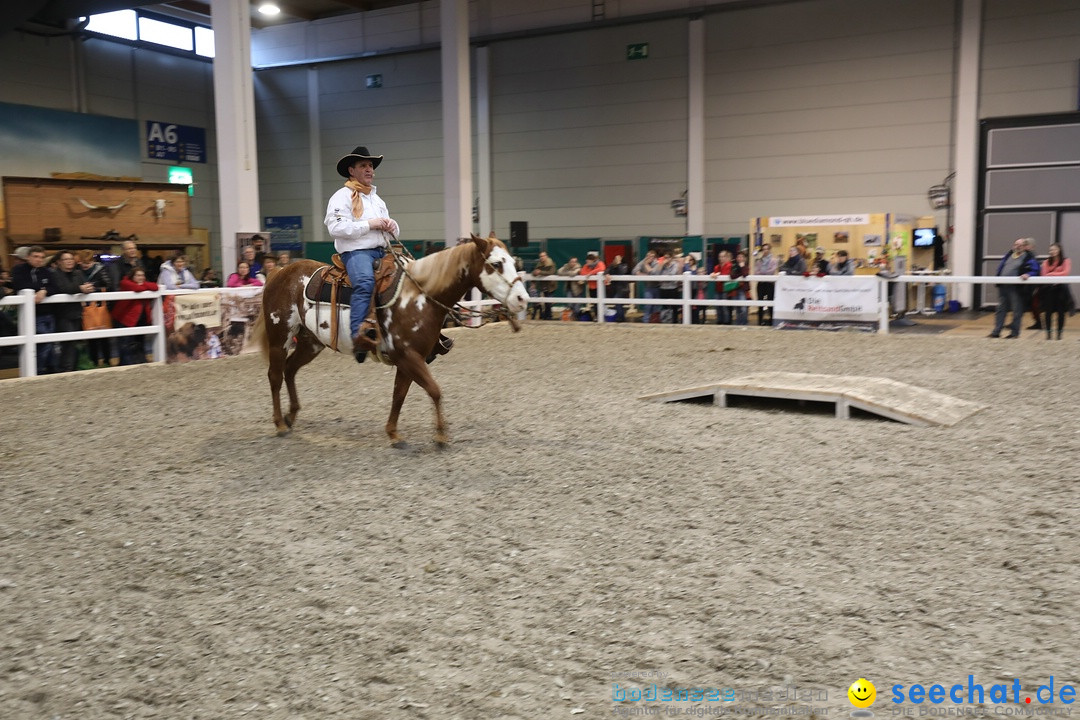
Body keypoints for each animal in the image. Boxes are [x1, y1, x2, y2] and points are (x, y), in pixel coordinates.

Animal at [248, 234, 527, 444]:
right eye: (496, 264)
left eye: (513, 261)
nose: (522, 299)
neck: (420, 296)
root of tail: (279, 271)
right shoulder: (409, 357)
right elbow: (434, 390)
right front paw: (440, 435)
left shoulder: (408, 359)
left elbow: (399, 394)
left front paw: (393, 433)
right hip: (280, 337)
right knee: (275, 375)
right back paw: (279, 424)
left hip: (311, 342)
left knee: (290, 370)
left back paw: (291, 416)